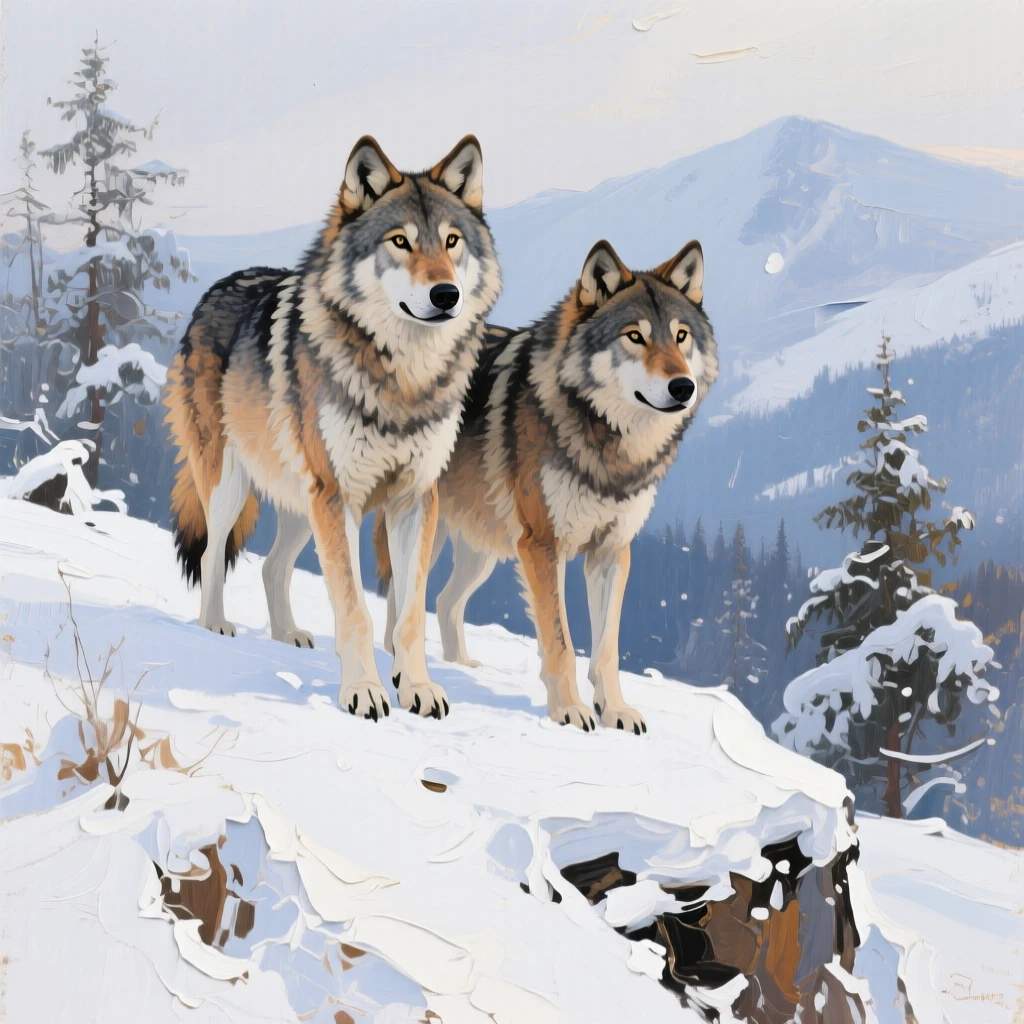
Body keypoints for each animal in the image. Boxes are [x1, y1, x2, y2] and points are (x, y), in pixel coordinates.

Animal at [163, 135, 501, 722]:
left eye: (452, 242)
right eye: (400, 242)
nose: (446, 295)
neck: (403, 383)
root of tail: (214, 289)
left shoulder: (415, 498)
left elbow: (408, 614)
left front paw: (418, 688)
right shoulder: (338, 496)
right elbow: (354, 608)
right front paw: (363, 691)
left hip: (302, 503)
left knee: (274, 568)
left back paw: (287, 635)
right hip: (234, 485)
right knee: (212, 552)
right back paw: (215, 625)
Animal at [376, 239, 717, 732]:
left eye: (681, 336)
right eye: (634, 336)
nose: (683, 387)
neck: (607, 443)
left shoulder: (612, 551)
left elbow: (607, 649)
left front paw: (616, 711)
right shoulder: (543, 546)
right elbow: (560, 642)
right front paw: (570, 711)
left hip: (481, 548)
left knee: (443, 600)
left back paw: (460, 666)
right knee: (403, 593)